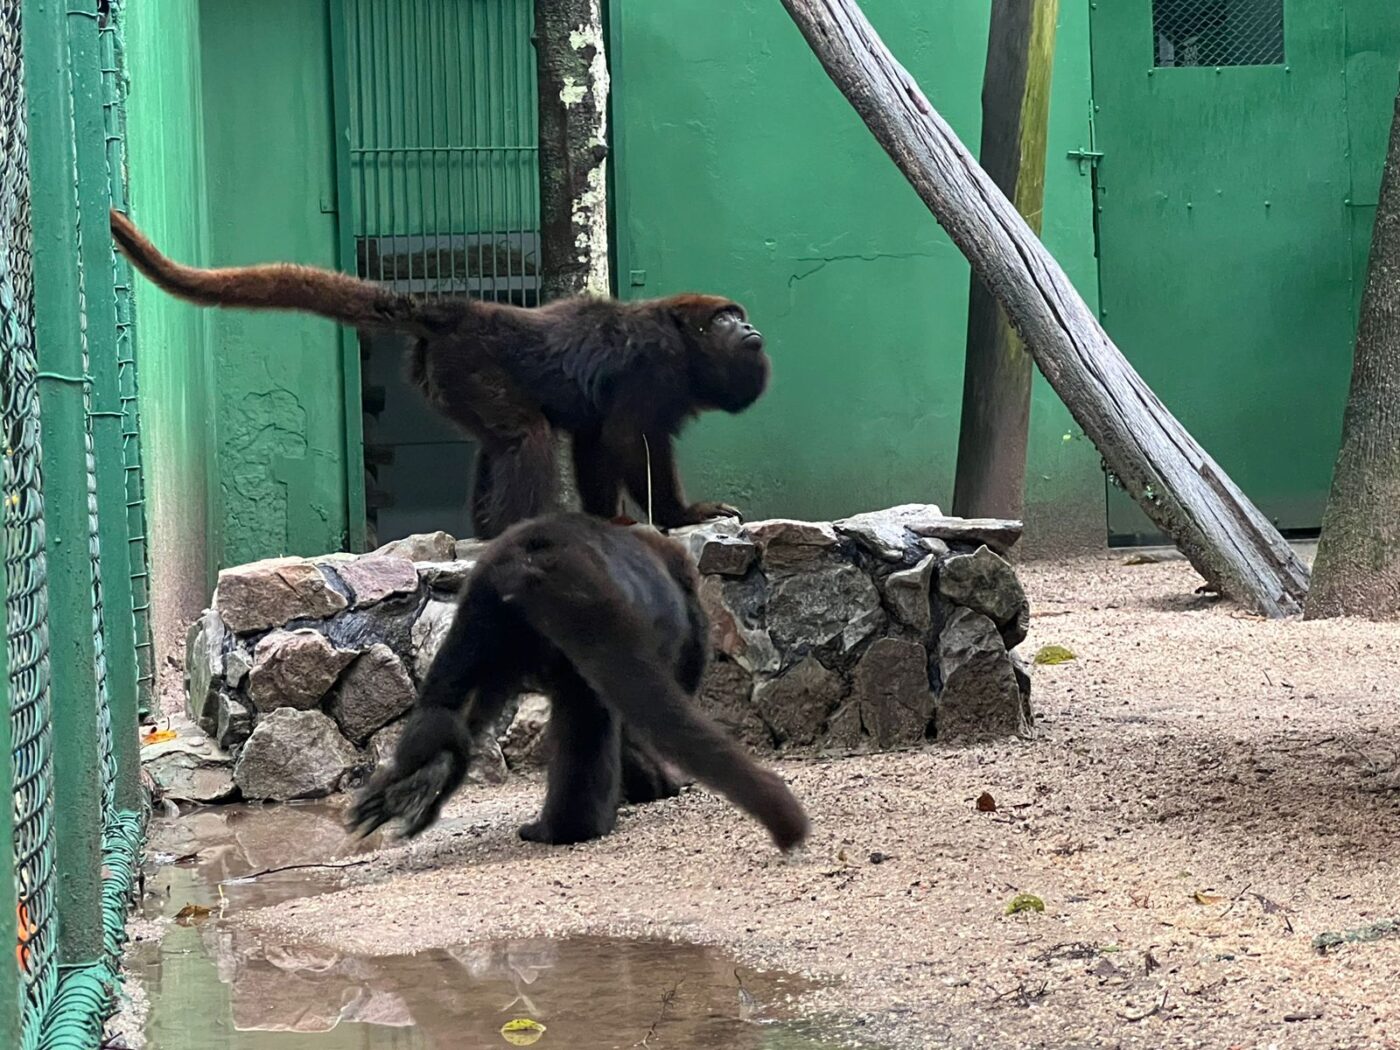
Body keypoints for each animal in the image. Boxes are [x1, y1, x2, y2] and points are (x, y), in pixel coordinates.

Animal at [107, 212, 767, 543]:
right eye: (725, 318)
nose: (750, 323)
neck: (685, 345)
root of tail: (458, 310)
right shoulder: (658, 368)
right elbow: (628, 437)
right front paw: (676, 517)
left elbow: (593, 438)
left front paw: (615, 518)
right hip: (472, 364)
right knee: (525, 437)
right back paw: (513, 530)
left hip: (450, 378)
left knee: (498, 444)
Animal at [341, 515, 812, 856]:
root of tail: (536, 557)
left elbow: (474, 708)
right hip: (586, 618)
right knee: (591, 720)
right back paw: (572, 827)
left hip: (483, 611)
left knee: (445, 706)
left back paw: (425, 773)